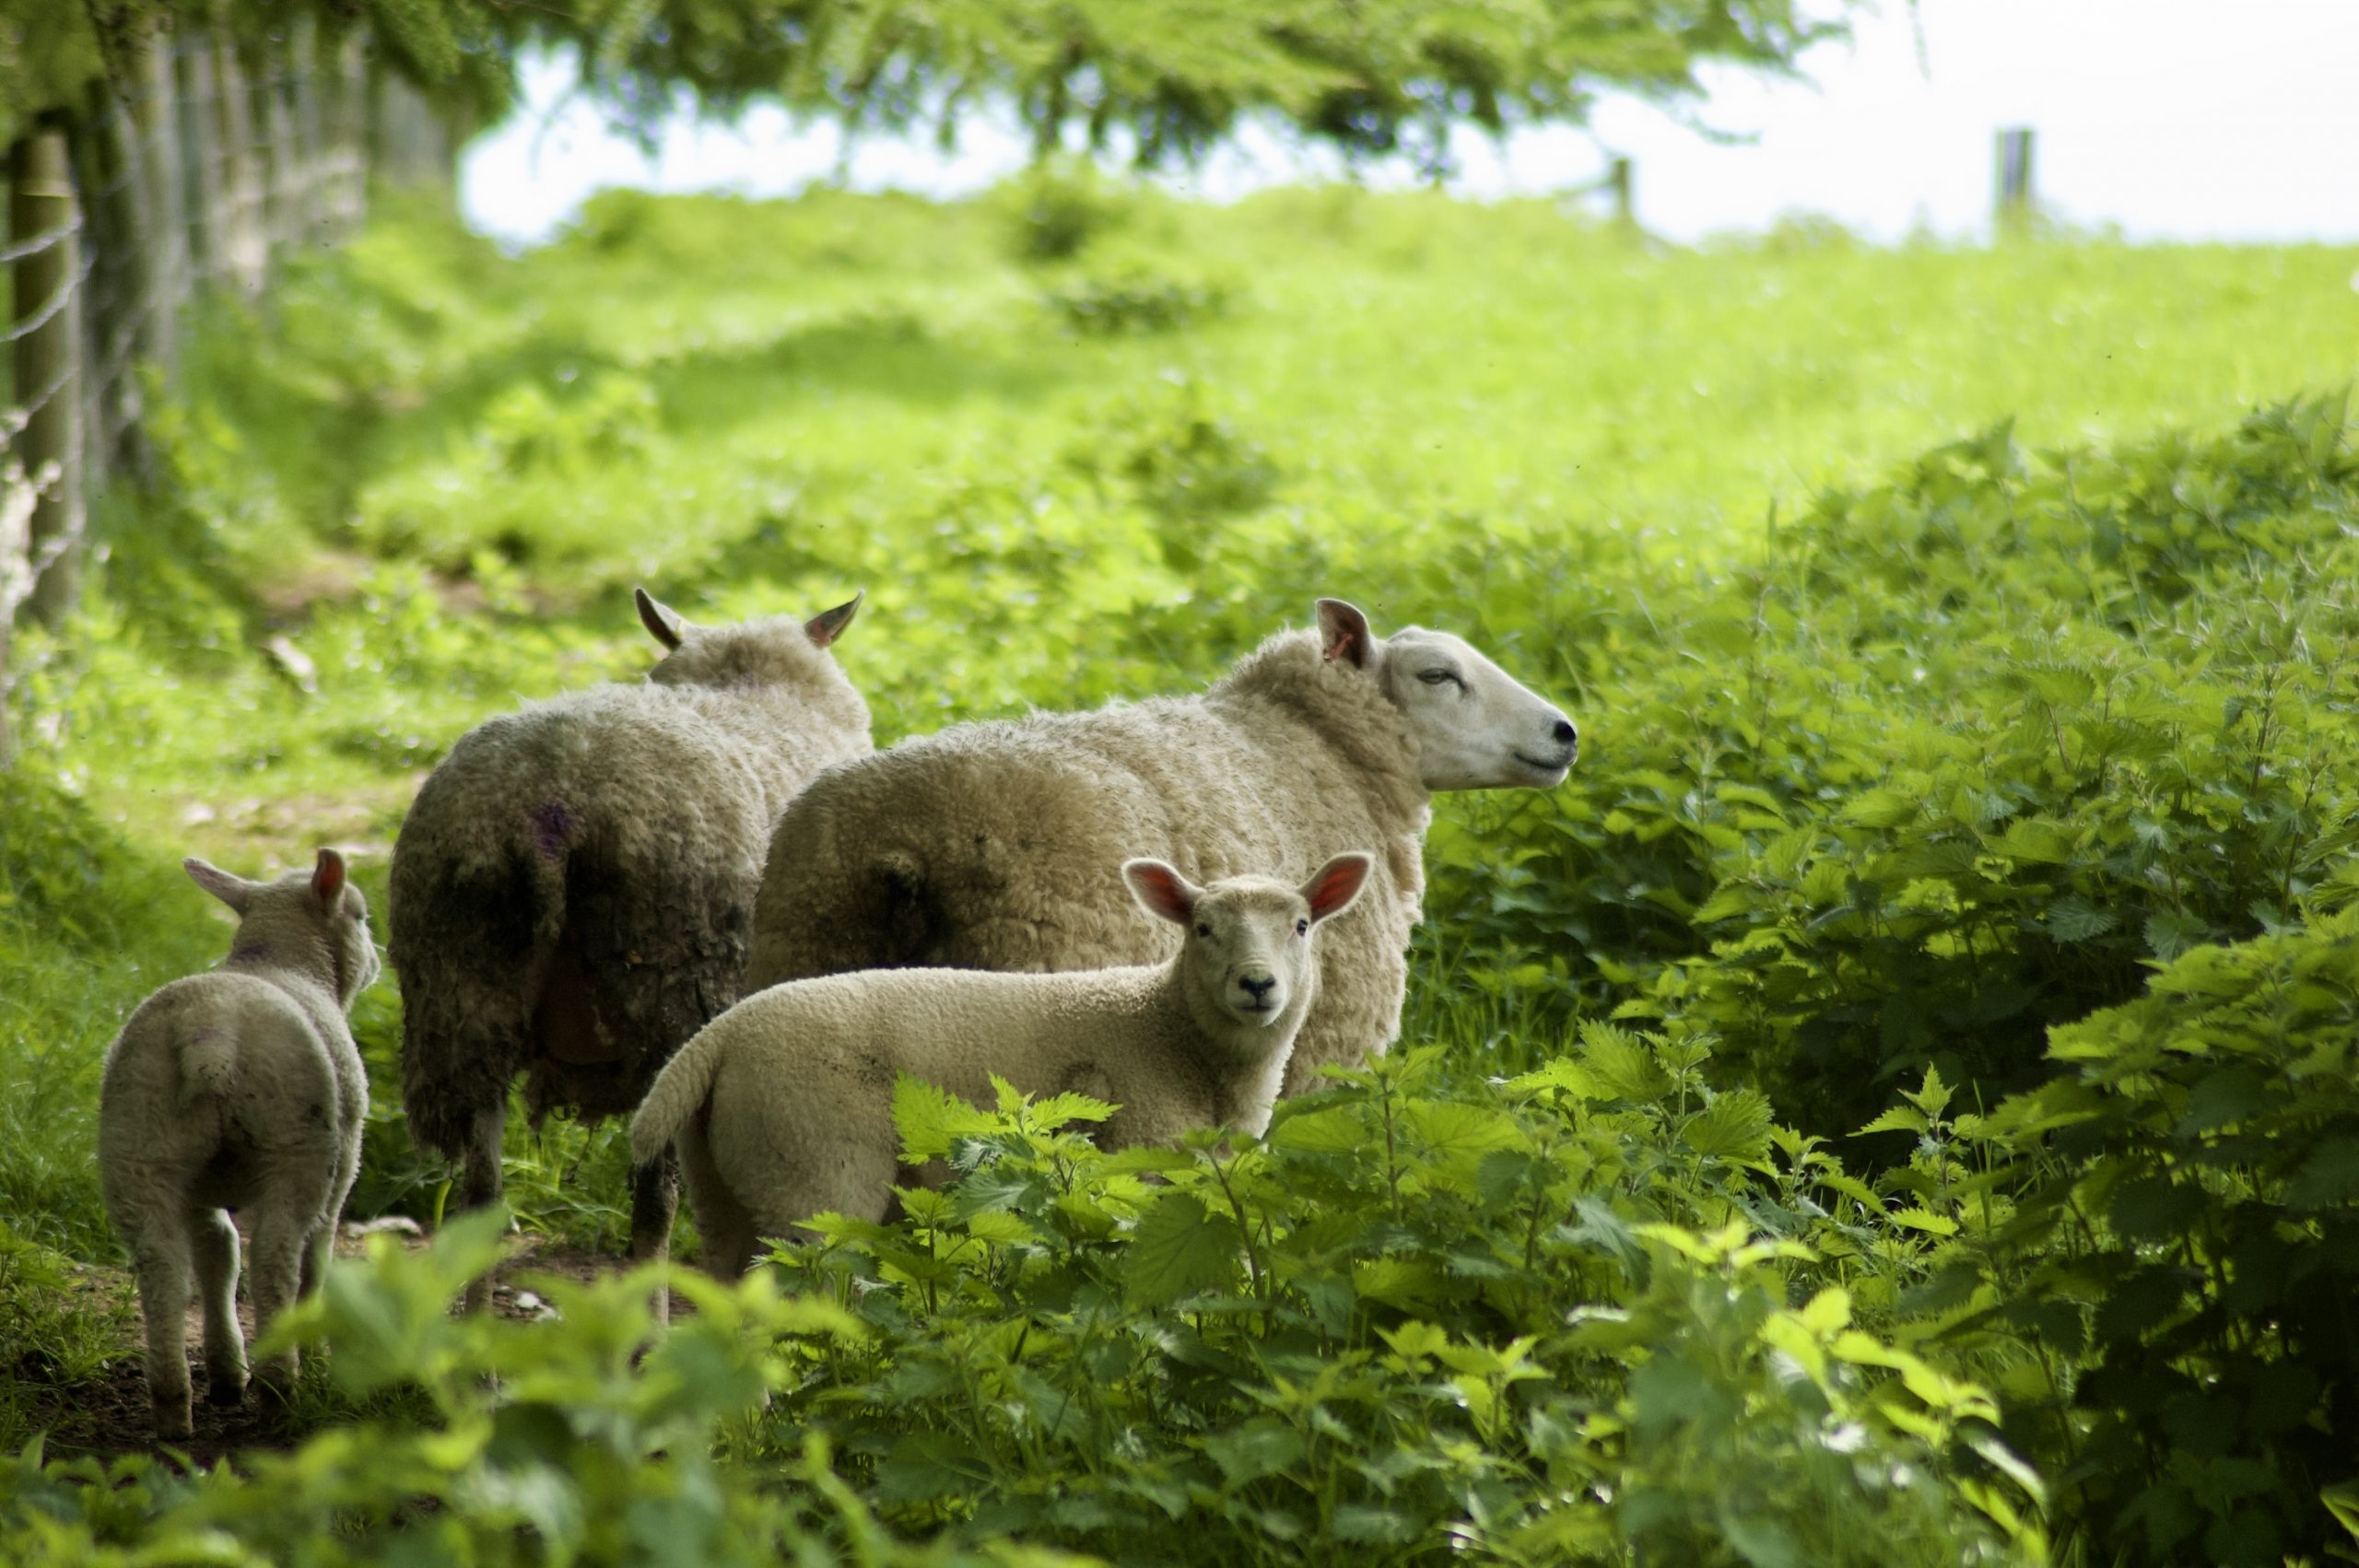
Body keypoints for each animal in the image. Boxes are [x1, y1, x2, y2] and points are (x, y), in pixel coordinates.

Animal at [98, 849, 378, 1440]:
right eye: (362, 918)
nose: (377, 963)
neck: (281, 961)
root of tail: (208, 1032)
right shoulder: (344, 1166)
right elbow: (314, 1259)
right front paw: (315, 1358)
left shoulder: (200, 1188)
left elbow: (217, 1252)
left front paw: (227, 1372)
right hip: (298, 1143)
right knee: (278, 1257)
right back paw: (281, 1390)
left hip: (139, 1142)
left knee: (161, 1264)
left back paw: (173, 1406)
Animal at [389, 587, 871, 1306]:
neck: (755, 693)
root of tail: (553, 800)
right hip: (669, 1000)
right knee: (654, 1206)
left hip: (461, 994)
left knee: (480, 1201)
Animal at [633, 851, 1372, 1273]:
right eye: (1203, 929)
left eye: (1301, 926)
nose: (1257, 985)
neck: (1172, 1033)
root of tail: (717, 1037)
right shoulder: (1142, 1155)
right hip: (811, 1169)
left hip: (726, 1174)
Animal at [744, 597, 1574, 1098]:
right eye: (1438, 675)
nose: (1565, 732)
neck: (1324, 747)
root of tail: (900, 851)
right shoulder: (1319, 1045)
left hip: (807, 969)